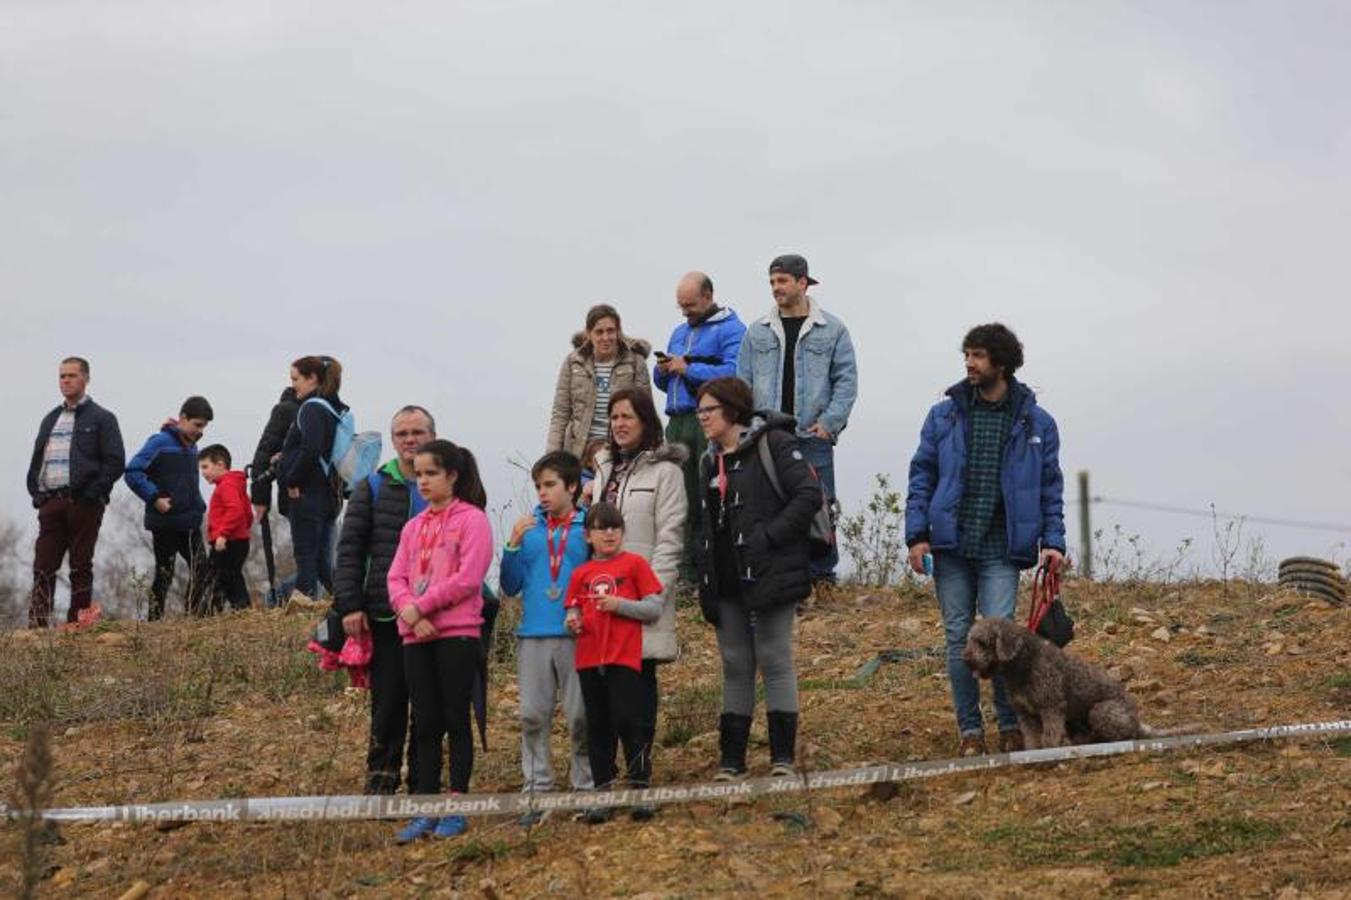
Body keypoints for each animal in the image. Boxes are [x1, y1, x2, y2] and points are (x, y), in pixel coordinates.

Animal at [967, 616, 1188, 740]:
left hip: (1101, 711)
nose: (966, 658)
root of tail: (1138, 720)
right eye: (970, 640)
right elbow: (1032, 741)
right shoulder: (1025, 714)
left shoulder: (1051, 708)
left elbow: (1050, 737)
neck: (1022, 667)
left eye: (982, 642)